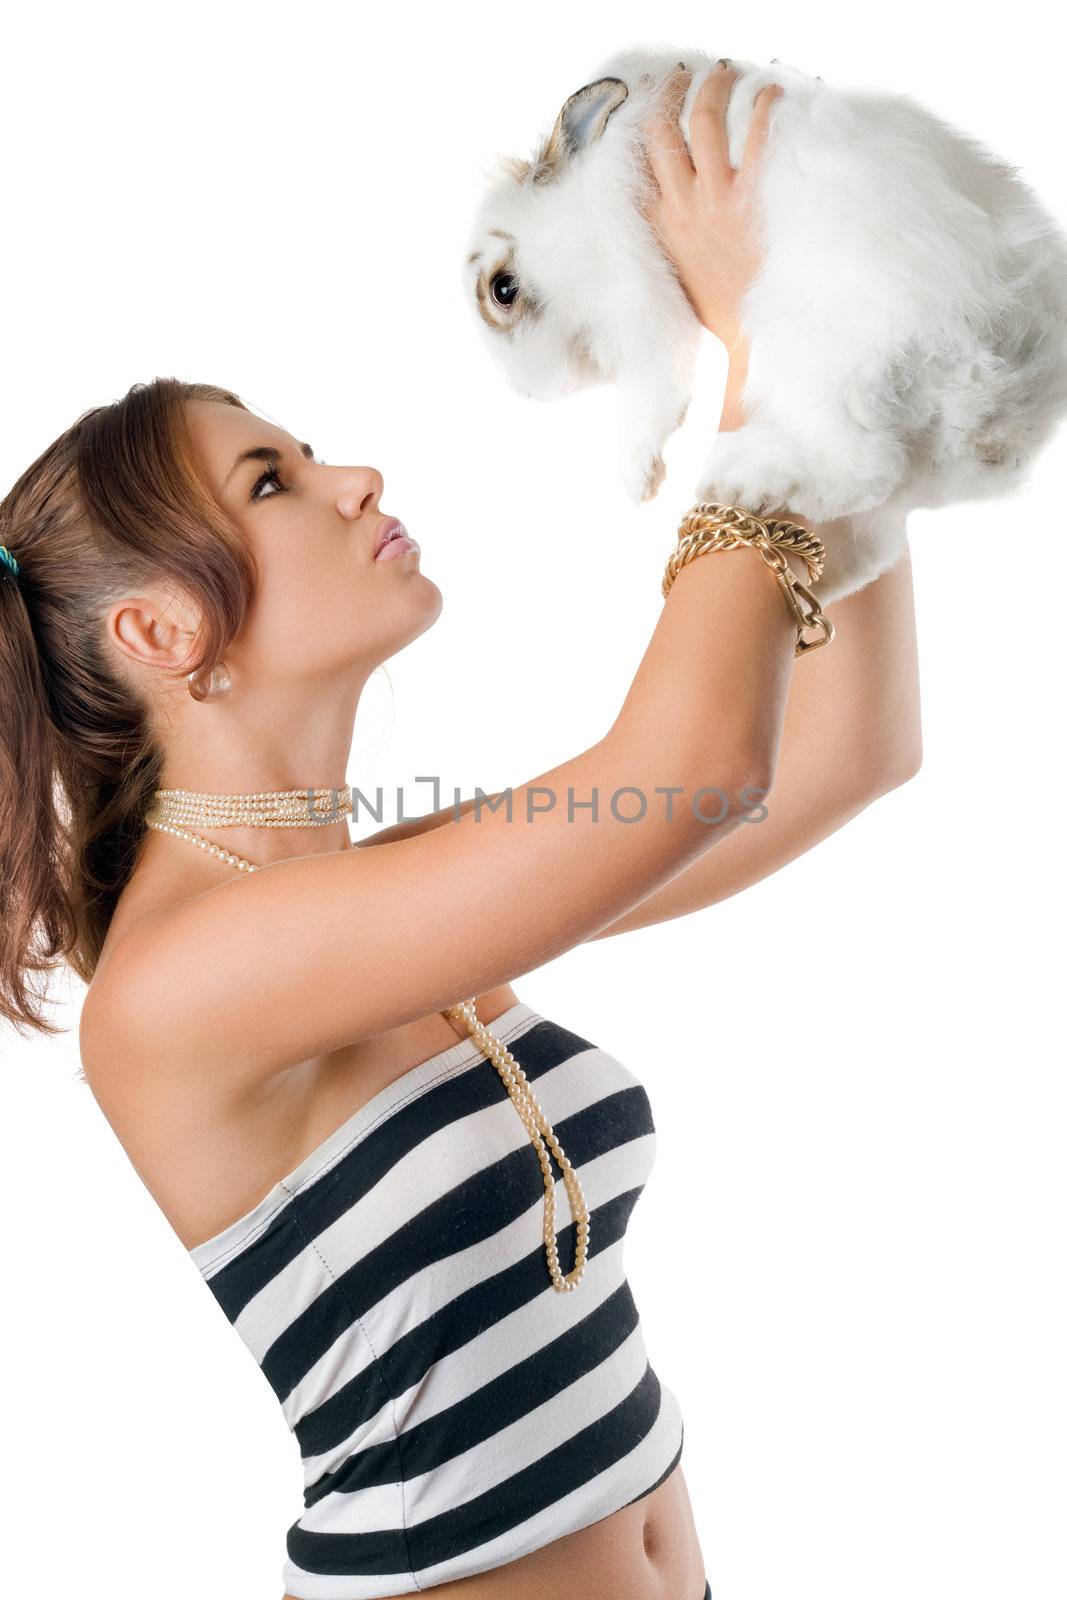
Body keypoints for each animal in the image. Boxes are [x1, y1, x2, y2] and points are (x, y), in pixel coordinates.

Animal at [467, 50, 1067, 601]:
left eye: (503, 289)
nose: (527, 390)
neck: (579, 212)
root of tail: (1005, 410)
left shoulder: (641, 296)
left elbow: (652, 396)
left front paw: (636, 476)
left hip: (816, 361)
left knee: (865, 467)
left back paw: (741, 476)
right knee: (875, 536)